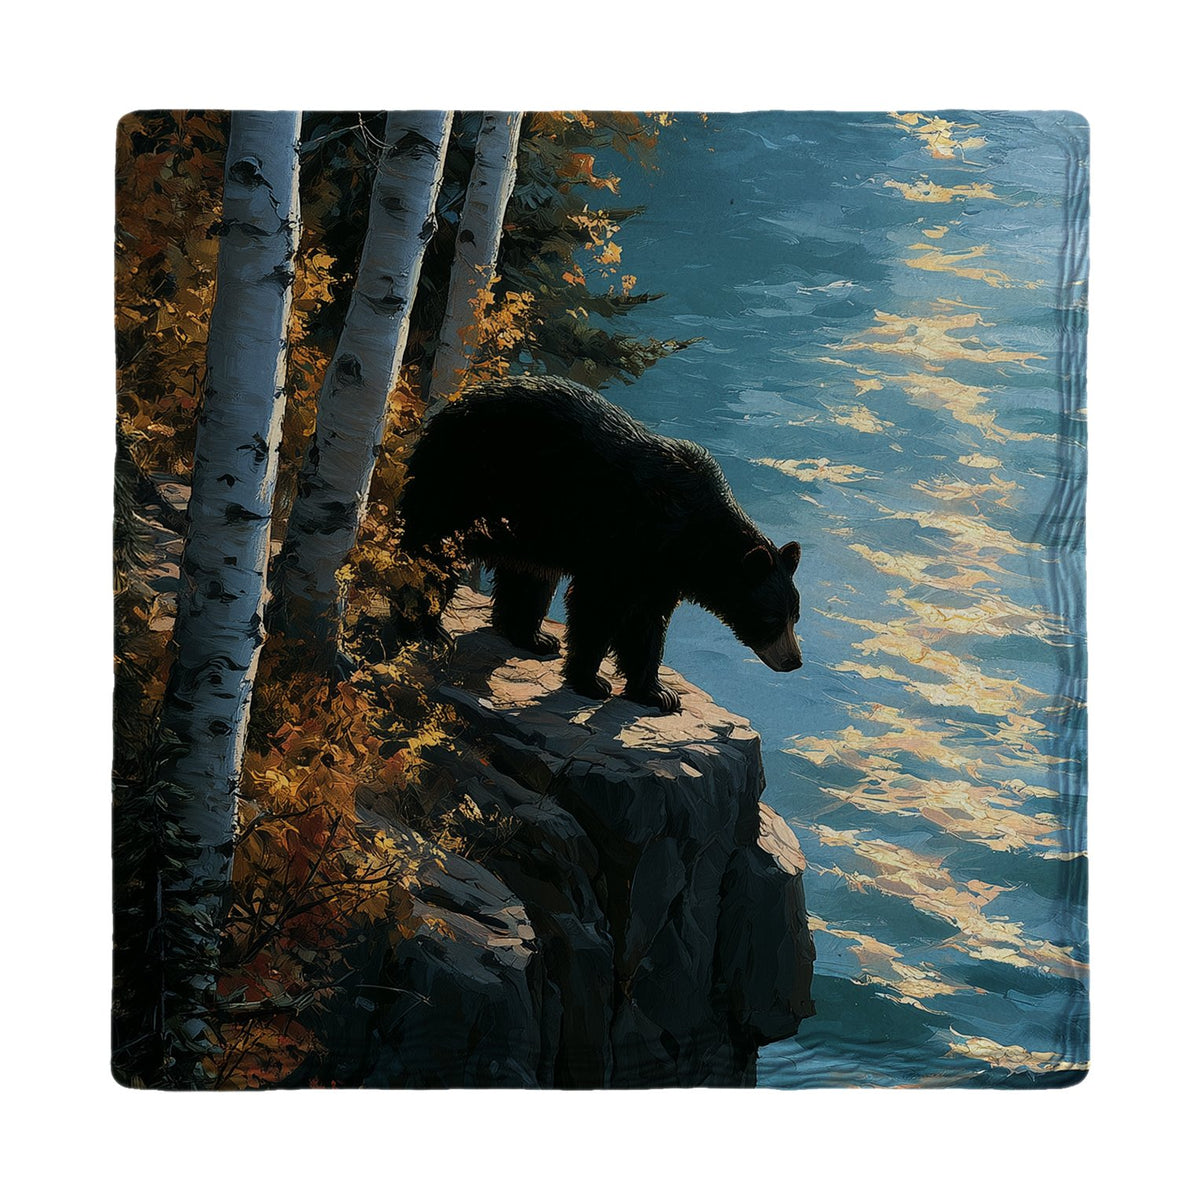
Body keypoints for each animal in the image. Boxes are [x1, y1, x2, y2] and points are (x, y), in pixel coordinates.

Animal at [399, 375, 802, 713]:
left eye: (794, 616)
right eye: (772, 619)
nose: (794, 661)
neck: (692, 533)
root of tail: (448, 407)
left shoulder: (661, 571)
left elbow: (646, 622)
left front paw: (657, 692)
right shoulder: (624, 539)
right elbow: (597, 606)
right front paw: (592, 682)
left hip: (532, 523)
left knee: (529, 575)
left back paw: (534, 637)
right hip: (467, 482)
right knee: (435, 552)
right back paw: (429, 626)